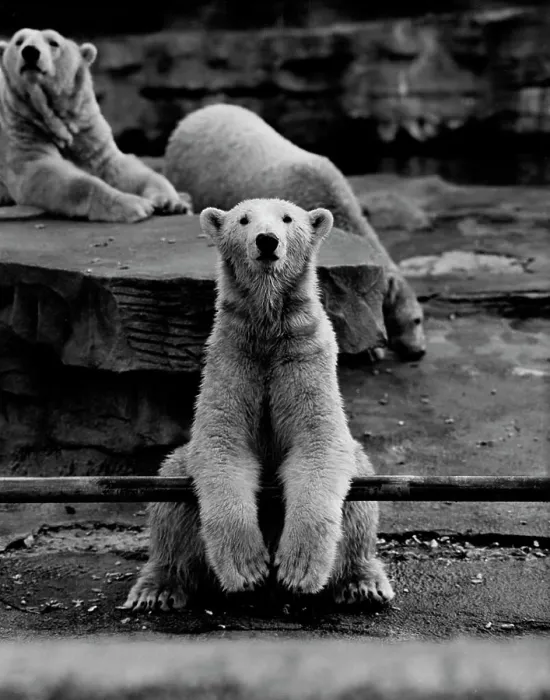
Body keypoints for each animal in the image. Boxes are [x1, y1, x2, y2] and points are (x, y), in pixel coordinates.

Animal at [0, 28, 190, 222]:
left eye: (54, 42)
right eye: (19, 41)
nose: (30, 51)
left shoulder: (85, 127)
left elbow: (116, 165)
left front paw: (171, 202)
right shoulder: (22, 127)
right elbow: (42, 171)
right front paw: (134, 204)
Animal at [123, 198, 394, 611]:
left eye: (288, 218)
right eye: (243, 219)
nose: (267, 240)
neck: (268, 331)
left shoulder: (304, 355)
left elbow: (318, 442)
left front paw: (298, 568)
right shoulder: (232, 356)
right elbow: (222, 444)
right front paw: (247, 567)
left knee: (361, 493)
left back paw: (363, 583)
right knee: (169, 495)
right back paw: (158, 588)